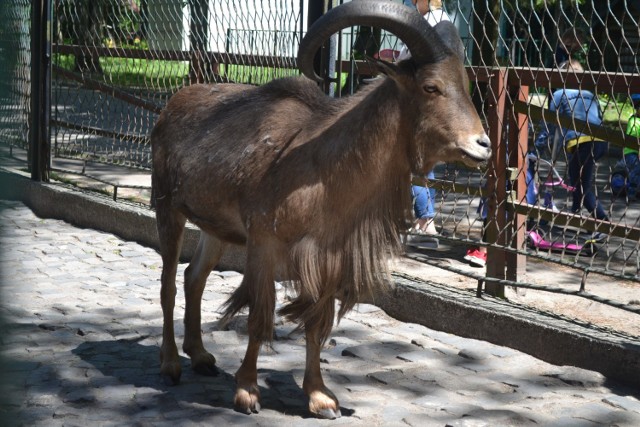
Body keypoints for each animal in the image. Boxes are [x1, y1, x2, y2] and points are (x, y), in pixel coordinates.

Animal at [150, 0, 490, 420]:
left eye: (465, 85)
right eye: (431, 87)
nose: (483, 145)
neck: (324, 169)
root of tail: (171, 105)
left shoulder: (330, 257)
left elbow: (317, 324)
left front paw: (320, 397)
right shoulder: (263, 245)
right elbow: (260, 317)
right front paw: (247, 392)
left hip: (215, 229)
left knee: (193, 278)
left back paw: (200, 356)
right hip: (167, 208)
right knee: (168, 284)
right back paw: (170, 364)